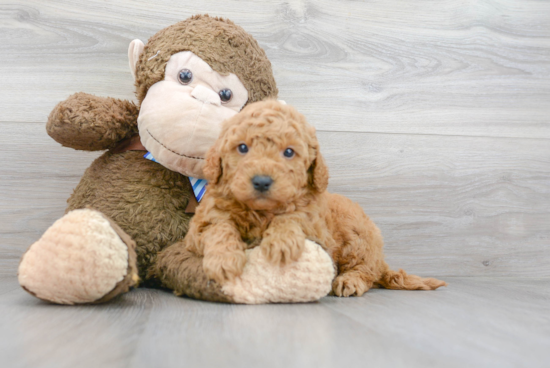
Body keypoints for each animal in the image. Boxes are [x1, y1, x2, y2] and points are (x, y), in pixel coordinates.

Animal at [183, 98, 446, 296]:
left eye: (289, 152)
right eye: (242, 148)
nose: (262, 181)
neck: (261, 211)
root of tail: (381, 260)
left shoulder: (318, 231)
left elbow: (293, 218)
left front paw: (282, 242)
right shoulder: (201, 224)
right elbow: (219, 228)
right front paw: (224, 260)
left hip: (359, 239)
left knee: (366, 271)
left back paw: (349, 282)